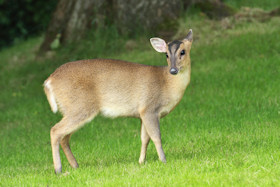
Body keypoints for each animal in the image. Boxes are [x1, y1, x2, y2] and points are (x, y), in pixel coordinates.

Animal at [43, 29, 192, 174]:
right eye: (166, 54)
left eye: (183, 52)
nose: (173, 70)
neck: (166, 83)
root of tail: (49, 81)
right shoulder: (149, 109)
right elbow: (156, 136)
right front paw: (163, 160)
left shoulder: (142, 114)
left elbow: (144, 138)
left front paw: (141, 161)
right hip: (80, 107)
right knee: (55, 131)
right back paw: (58, 169)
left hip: (70, 109)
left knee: (64, 137)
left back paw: (75, 166)